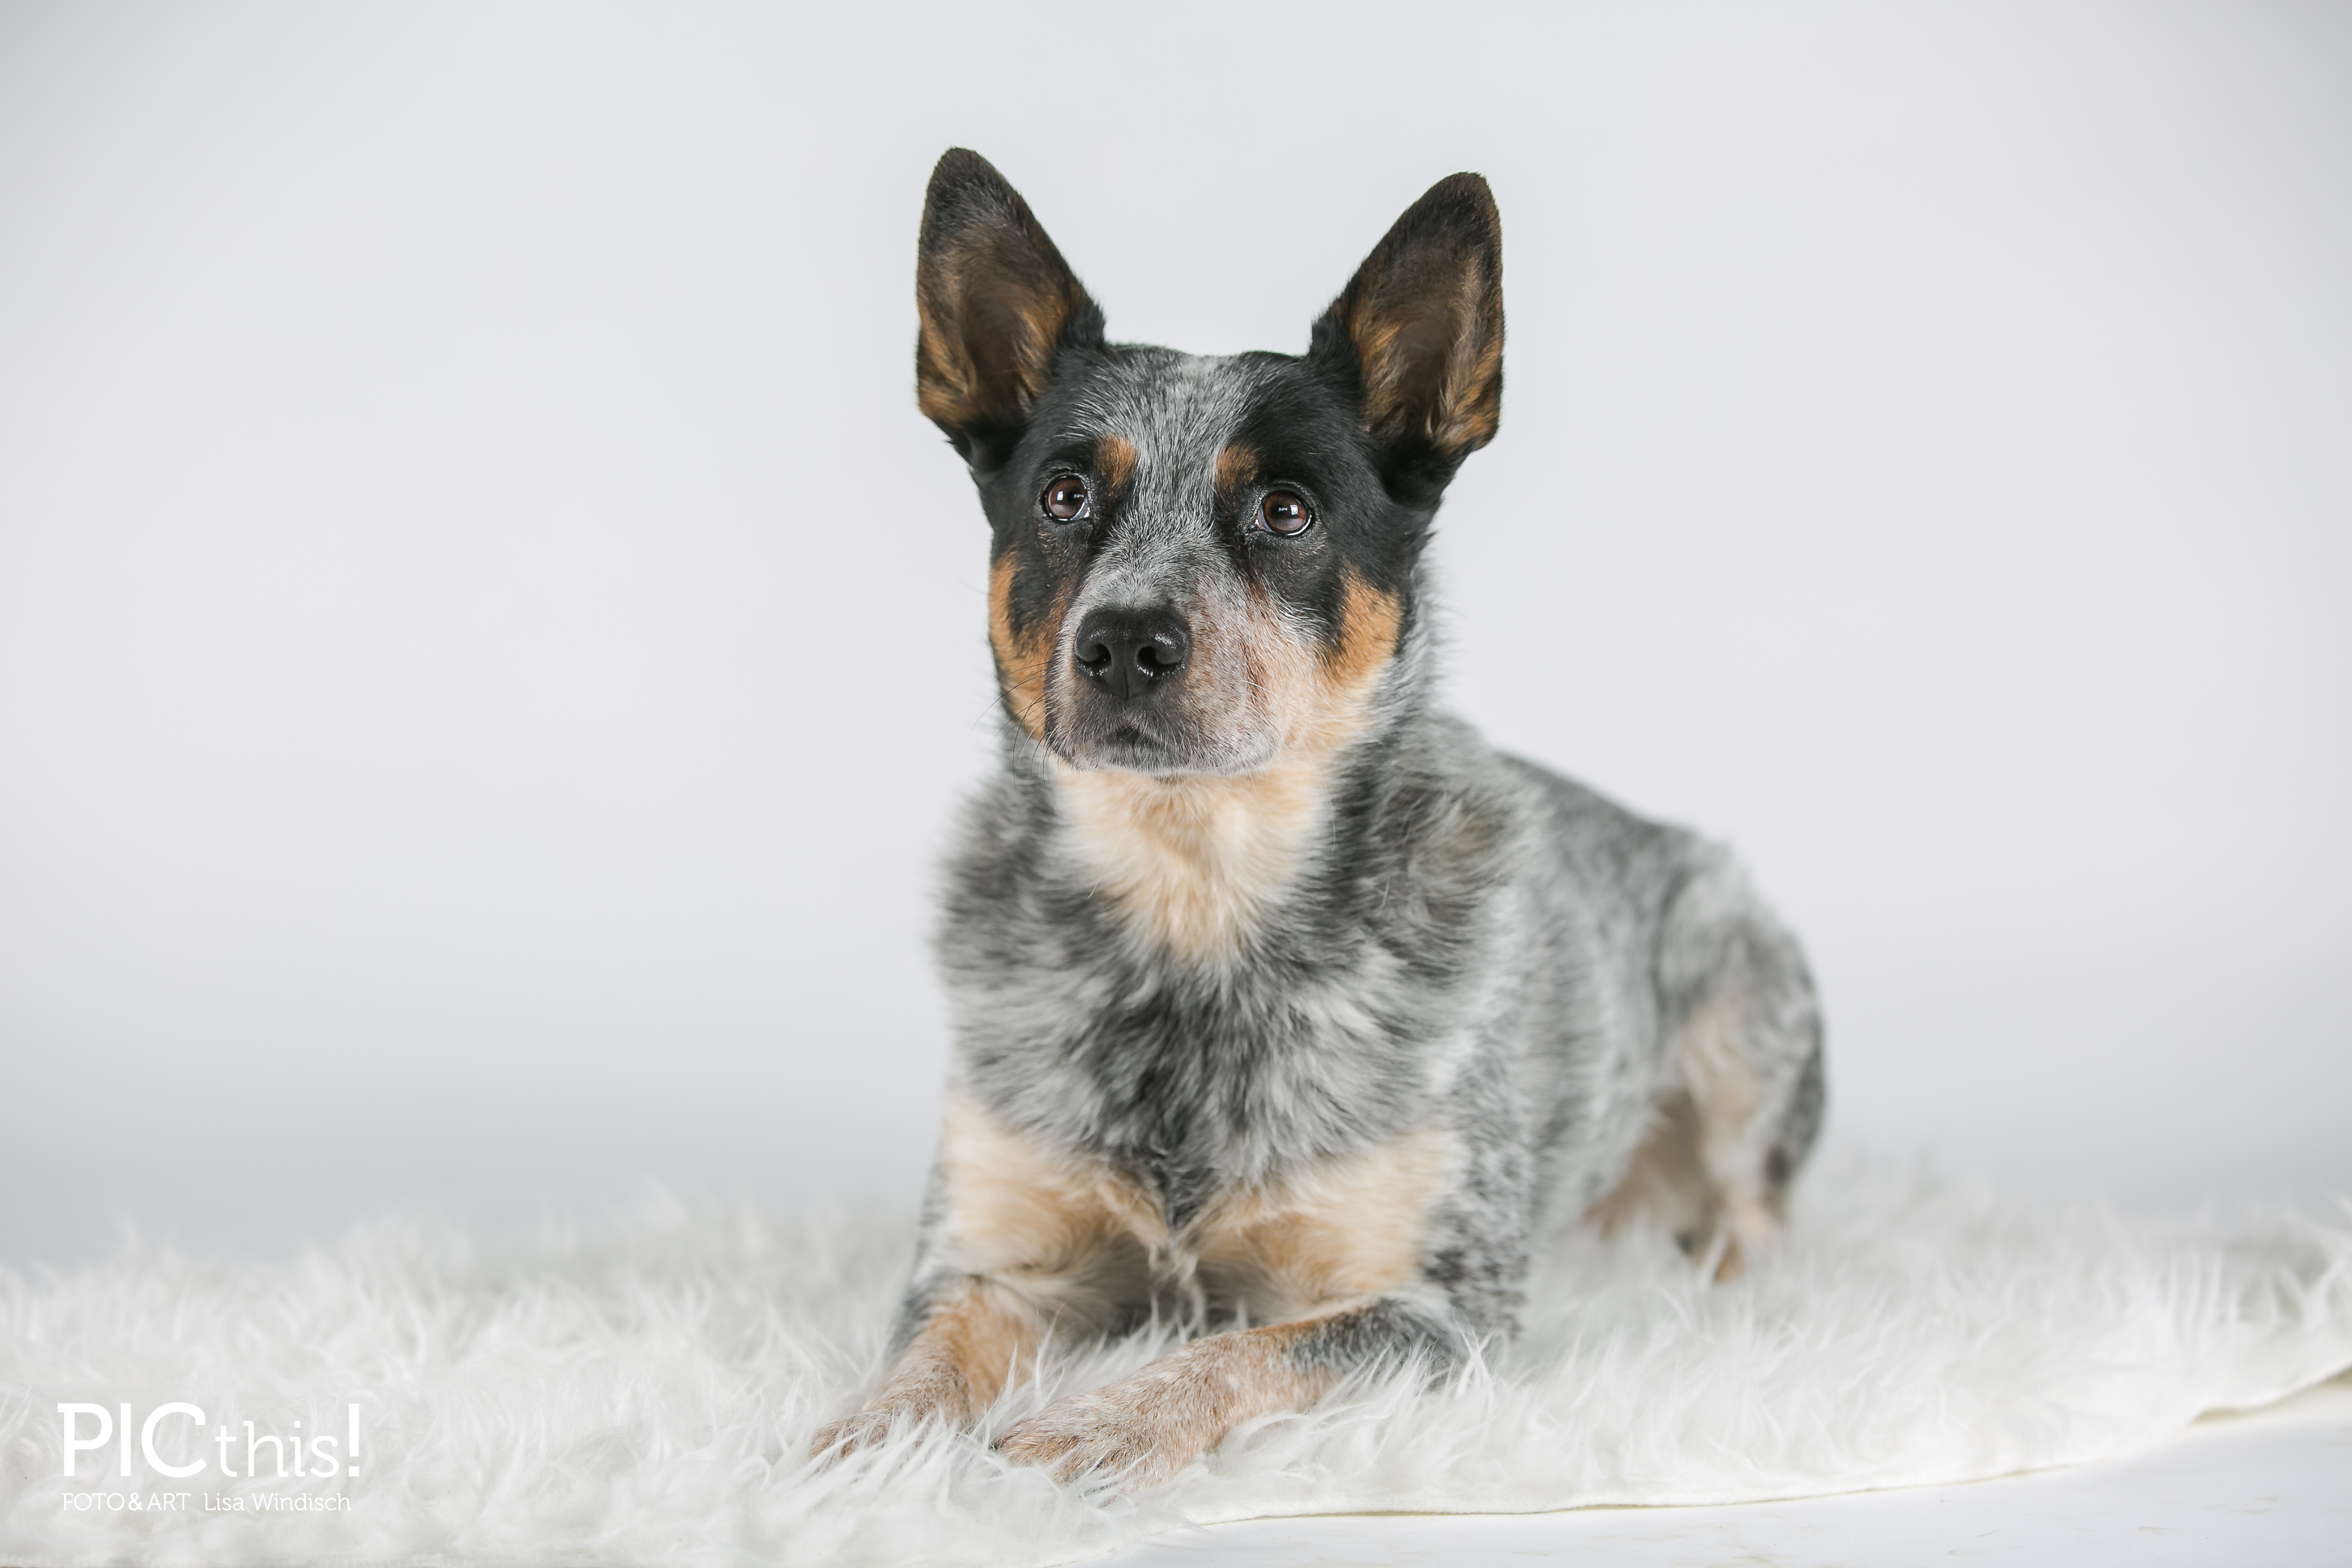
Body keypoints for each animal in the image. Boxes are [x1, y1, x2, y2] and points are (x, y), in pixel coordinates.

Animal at [811, 149, 1825, 1490]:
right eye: (1065, 495)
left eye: (1287, 511)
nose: (1124, 641)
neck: (1193, 911)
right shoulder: (990, 1256)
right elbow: (924, 1365)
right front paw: (862, 1456)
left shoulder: (1434, 1312)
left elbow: (1228, 1356)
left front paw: (1084, 1429)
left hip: (1745, 1006)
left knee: (1754, 1204)